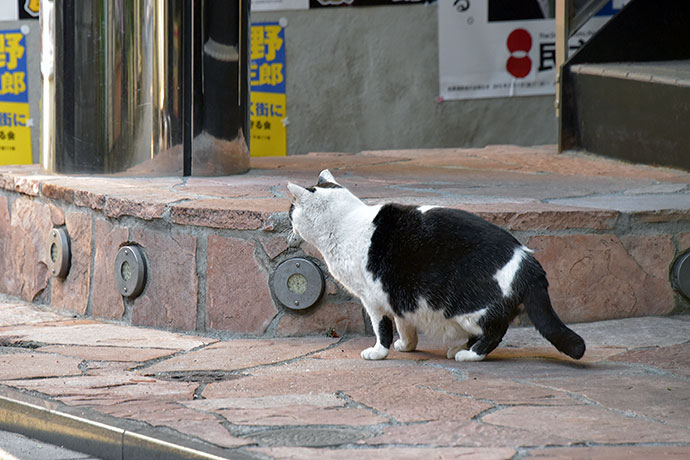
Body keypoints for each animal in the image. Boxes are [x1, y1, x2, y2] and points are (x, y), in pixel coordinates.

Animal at [284, 171, 580, 362]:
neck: (345, 223)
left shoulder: (372, 299)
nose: (287, 219)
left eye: (291, 210)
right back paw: (458, 348)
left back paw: (469, 355)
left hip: (471, 309)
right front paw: (407, 345)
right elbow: (404, 324)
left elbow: (382, 328)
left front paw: (379, 352)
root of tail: (527, 258)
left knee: (494, 331)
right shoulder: (398, 296)